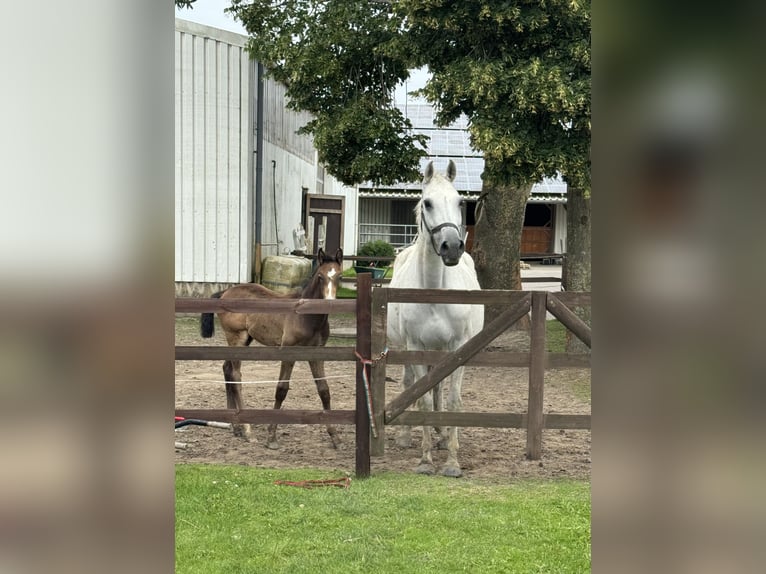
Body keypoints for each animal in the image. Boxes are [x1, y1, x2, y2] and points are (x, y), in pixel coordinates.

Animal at [388, 160, 484, 480]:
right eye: (427, 203)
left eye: (460, 202)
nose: (452, 247)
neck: (433, 291)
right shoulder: (415, 347)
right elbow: (423, 399)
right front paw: (425, 460)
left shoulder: (458, 348)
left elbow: (452, 399)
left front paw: (452, 461)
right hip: (407, 349)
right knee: (410, 385)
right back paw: (407, 436)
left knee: (439, 388)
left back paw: (442, 434)